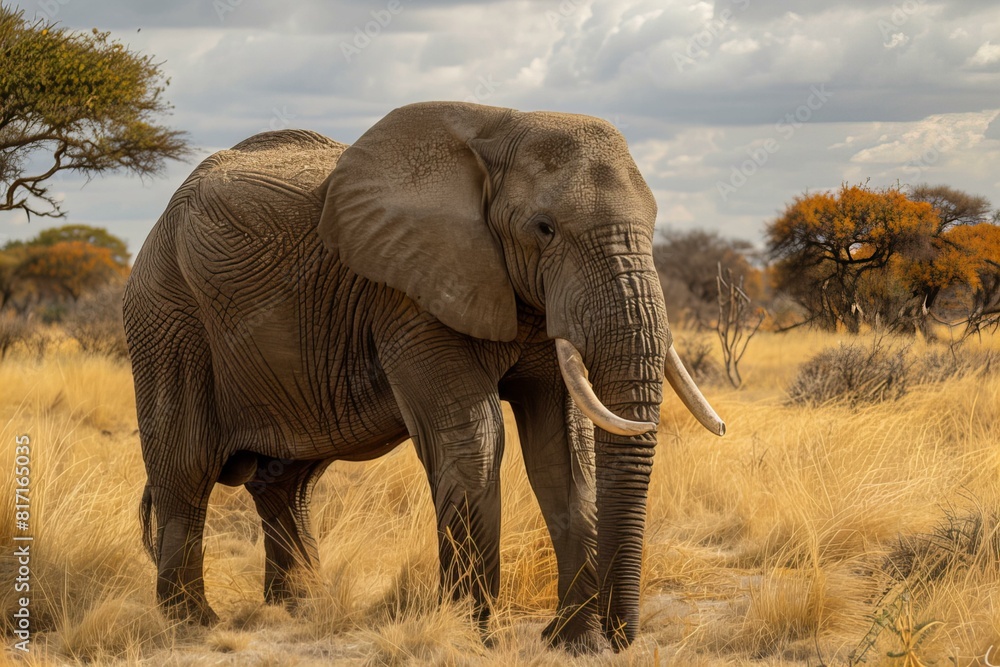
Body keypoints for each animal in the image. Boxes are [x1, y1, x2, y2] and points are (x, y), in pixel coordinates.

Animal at [123, 101, 724, 653]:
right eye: (545, 229)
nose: (622, 636)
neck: (500, 125)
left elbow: (562, 457)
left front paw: (574, 644)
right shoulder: (407, 291)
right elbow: (474, 442)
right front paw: (470, 638)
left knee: (285, 480)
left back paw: (297, 609)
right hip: (166, 312)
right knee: (186, 465)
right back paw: (193, 623)